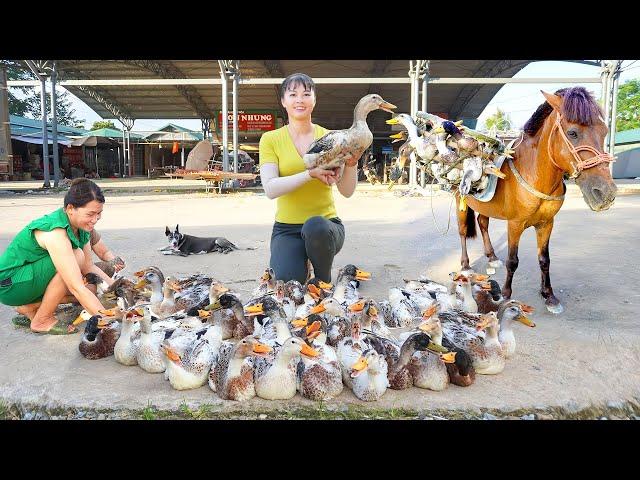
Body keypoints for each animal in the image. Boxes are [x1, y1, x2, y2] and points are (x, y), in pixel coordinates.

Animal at [458, 87, 616, 316]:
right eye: (572, 133)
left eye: (604, 131)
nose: (605, 193)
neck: (534, 175)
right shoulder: (515, 224)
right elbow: (513, 261)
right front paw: (505, 294)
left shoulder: (546, 223)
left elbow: (544, 260)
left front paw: (549, 296)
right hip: (459, 201)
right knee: (462, 232)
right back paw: (465, 265)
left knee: (482, 223)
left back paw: (491, 257)